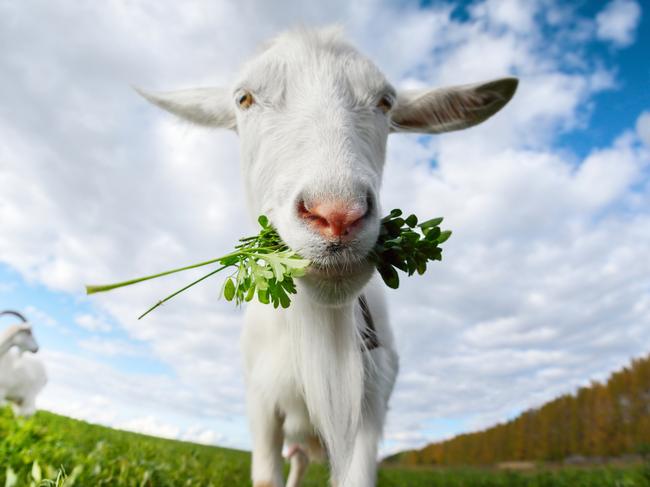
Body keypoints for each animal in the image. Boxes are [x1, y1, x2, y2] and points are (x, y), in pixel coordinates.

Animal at [138, 27, 516, 487]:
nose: (336, 215)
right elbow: (266, 477)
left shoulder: (371, 406)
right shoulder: (260, 404)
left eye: (385, 102)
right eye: (244, 98)